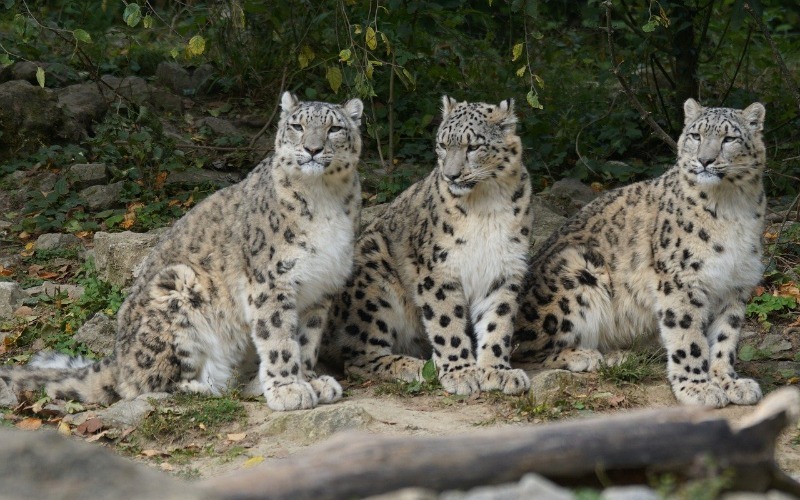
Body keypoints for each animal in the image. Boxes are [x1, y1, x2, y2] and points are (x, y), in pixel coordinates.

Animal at [0, 92, 363, 411]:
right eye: (297, 126)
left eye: (334, 128)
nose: (313, 149)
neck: (324, 199)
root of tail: (117, 357)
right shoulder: (271, 281)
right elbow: (278, 339)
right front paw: (290, 390)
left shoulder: (320, 287)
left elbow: (305, 341)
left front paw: (311, 380)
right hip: (177, 288)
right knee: (143, 385)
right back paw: (201, 388)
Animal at [322, 96, 533, 395]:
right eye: (443, 144)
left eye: (474, 146)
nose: (451, 175)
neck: (486, 203)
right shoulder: (440, 269)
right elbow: (447, 322)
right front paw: (461, 373)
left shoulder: (504, 268)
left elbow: (498, 321)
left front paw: (498, 371)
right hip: (373, 278)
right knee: (358, 357)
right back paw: (418, 367)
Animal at [514, 99, 767, 408]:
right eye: (696, 136)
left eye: (729, 138)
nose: (705, 160)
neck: (731, 205)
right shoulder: (680, 279)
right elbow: (688, 336)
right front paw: (698, 388)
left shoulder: (736, 282)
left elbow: (725, 337)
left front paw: (730, 382)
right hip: (576, 270)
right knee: (523, 348)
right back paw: (586, 355)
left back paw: (618, 355)